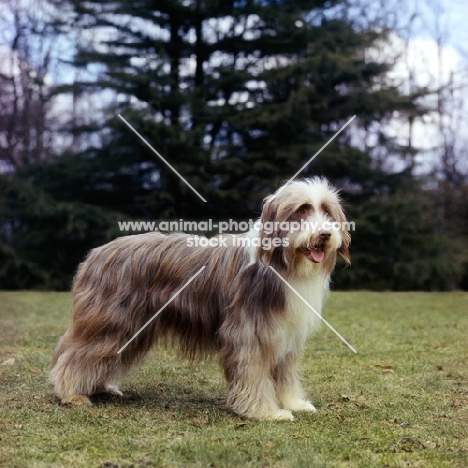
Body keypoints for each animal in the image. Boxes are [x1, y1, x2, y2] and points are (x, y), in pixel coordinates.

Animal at [49, 177, 350, 422]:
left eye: (326, 210)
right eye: (302, 210)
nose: (324, 234)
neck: (281, 265)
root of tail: (96, 253)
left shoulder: (285, 336)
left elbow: (285, 374)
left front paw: (294, 403)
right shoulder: (247, 333)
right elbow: (253, 374)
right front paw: (266, 412)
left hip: (132, 328)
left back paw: (100, 387)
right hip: (111, 321)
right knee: (76, 354)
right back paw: (71, 394)